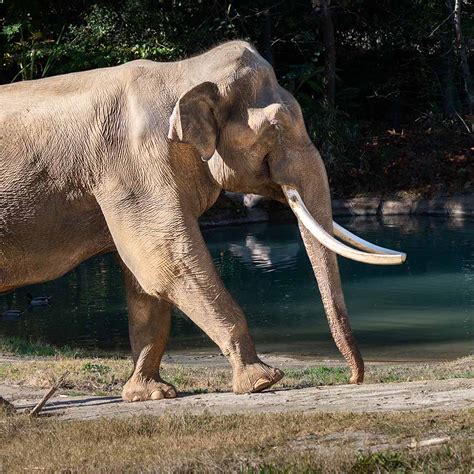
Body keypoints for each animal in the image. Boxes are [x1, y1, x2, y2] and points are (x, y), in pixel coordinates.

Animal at [0, 41, 406, 404]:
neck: (182, 72)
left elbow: (144, 279)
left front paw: (151, 394)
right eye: (275, 128)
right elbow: (166, 262)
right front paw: (263, 381)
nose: (354, 378)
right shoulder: (132, 167)